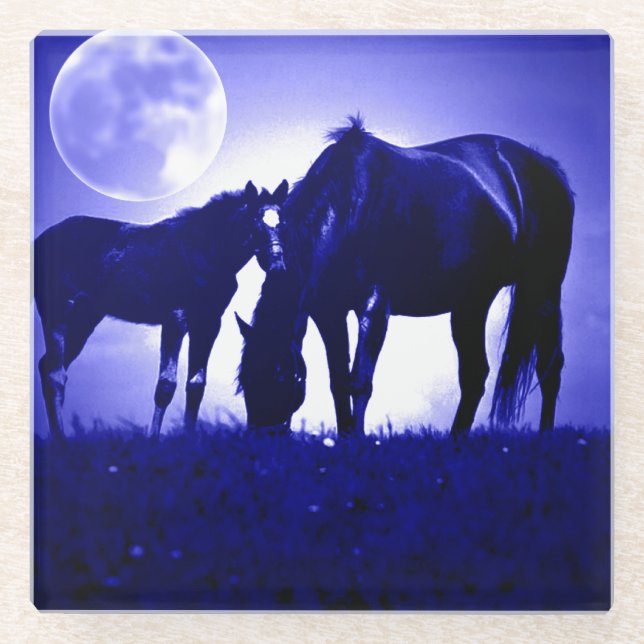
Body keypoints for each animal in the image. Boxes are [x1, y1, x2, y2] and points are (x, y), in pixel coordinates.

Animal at [35, 179, 289, 439]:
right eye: (255, 222)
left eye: (283, 222)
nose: (277, 266)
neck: (206, 251)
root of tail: (40, 240)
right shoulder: (175, 319)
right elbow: (166, 384)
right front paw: (153, 439)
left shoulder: (208, 322)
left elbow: (196, 384)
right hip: (59, 316)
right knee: (55, 374)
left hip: (85, 320)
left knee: (47, 367)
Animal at [236, 116, 574, 437]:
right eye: (245, 380)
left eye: (281, 375)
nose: (262, 436)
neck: (351, 206)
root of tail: (551, 169)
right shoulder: (328, 311)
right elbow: (338, 380)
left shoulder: (374, 304)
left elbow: (360, 381)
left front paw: (357, 437)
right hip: (472, 303)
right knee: (475, 374)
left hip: (544, 290)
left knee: (550, 366)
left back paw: (545, 435)